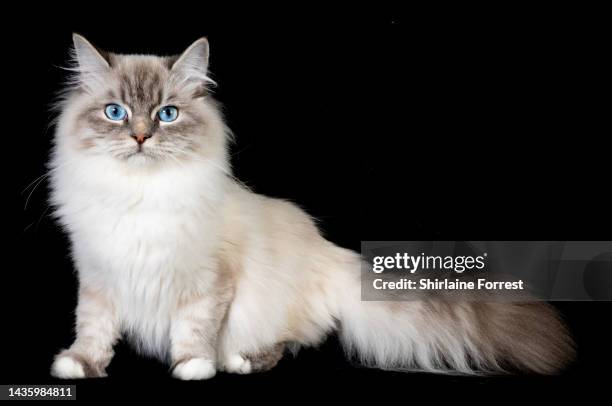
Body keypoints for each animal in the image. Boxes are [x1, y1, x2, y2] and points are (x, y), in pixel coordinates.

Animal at [47, 35, 572, 380]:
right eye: (116, 113)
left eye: (167, 114)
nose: (140, 136)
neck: (138, 193)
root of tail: (331, 254)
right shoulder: (97, 276)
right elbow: (93, 328)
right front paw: (78, 363)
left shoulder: (208, 283)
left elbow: (194, 330)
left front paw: (192, 366)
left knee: (290, 342)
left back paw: (238, 361)